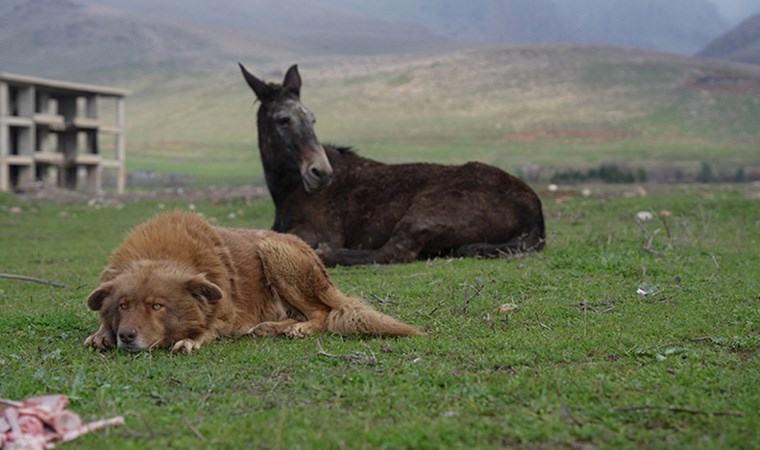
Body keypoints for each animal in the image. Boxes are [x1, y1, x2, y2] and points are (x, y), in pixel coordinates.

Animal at [86, 213, 424, 354]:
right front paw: (102, 334)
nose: (127, 336)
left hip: (274, 251)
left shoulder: (224, 308)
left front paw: (192, 339)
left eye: (157, 306)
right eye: (123, 306)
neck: (162, 254)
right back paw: (269, 328)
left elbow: (208, 326)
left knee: (322, 313)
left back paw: (299, 329)